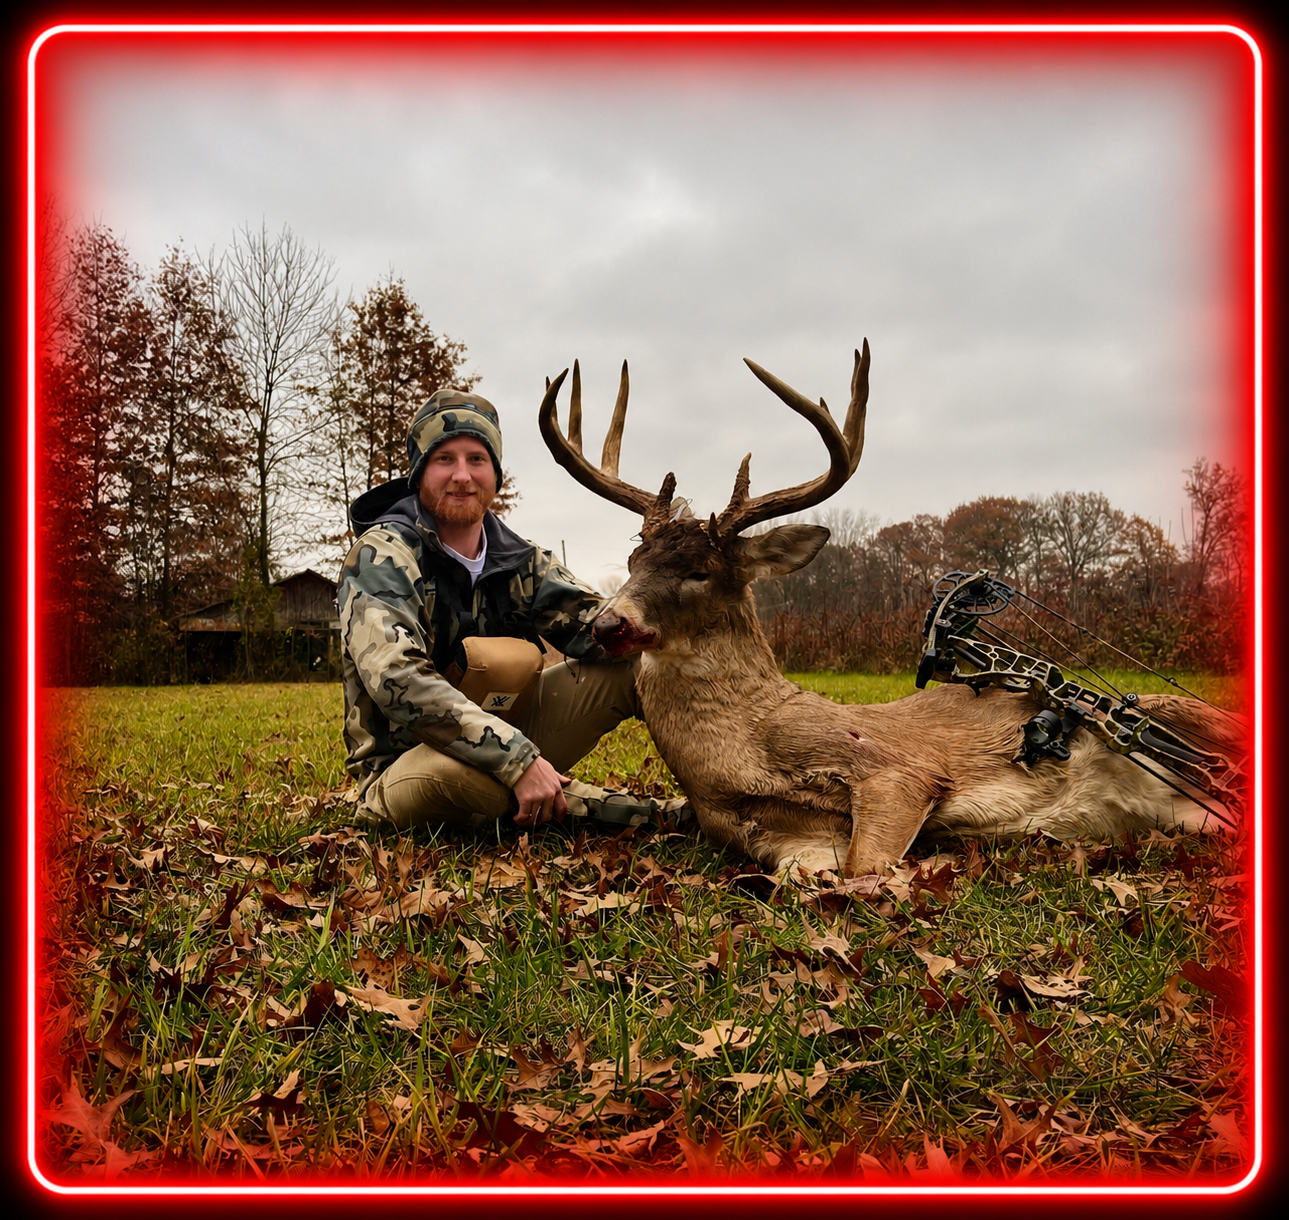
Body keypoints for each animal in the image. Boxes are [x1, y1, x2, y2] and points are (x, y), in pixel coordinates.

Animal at [538, 344, 1246, 880]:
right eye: (634, 558)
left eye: (699, 571)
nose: (608, 623)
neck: (740, 756)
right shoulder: (777, 840)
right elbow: (807, 877)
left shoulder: (896, 769)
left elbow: (865, 864)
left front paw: (923, 868)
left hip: (1188, 718)